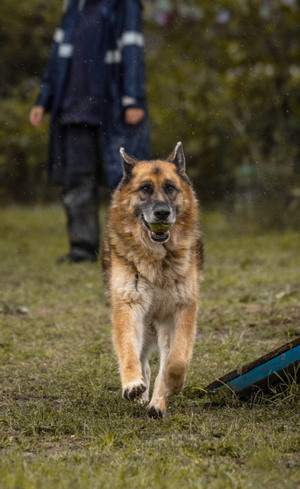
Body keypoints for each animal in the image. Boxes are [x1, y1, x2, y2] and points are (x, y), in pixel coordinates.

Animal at [102, 142, 203, 416]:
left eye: (170, 188)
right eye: (145, 189)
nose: (162, 213)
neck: (157, 259)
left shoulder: (182, 310)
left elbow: (176, 361)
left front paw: (172, 385)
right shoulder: (129, 307)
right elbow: (129, 352)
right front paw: (131, 384)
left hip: (163, 327)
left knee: (162, 365)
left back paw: (157, 404)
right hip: (145, 327)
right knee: (144, 363)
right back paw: (141, 393)